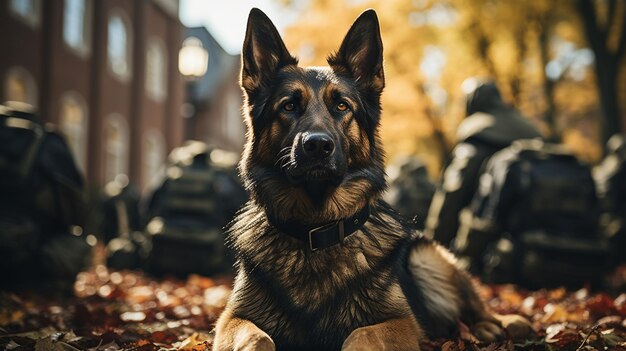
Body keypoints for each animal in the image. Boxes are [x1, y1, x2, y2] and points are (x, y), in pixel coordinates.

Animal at [211, 8, 532, 351]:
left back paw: (495, 327)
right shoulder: (232, 319)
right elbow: (257, 338)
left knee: (479, 310)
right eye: (289, 105)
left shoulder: (401, 323)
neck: (316, 228)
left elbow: (360, 334)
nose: (317, 146)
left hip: (427, 258)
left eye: (342, 105)